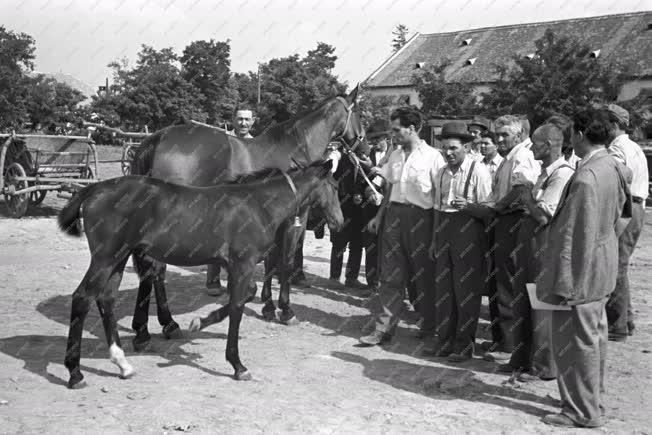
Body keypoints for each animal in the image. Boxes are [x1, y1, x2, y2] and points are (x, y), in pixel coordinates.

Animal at [58, 163, 344, 388]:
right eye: (334, 187)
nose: (339, 222)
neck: (257, 206)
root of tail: (92, 190)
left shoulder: (235, 265)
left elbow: (245, 296)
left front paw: (200, 322)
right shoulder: (243, 263)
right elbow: (238, 306)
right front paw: (238, 365)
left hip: (119, 258)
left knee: (106, 299)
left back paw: (123, 363)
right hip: (105, 258)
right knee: (82, 297)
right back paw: (75, 373)